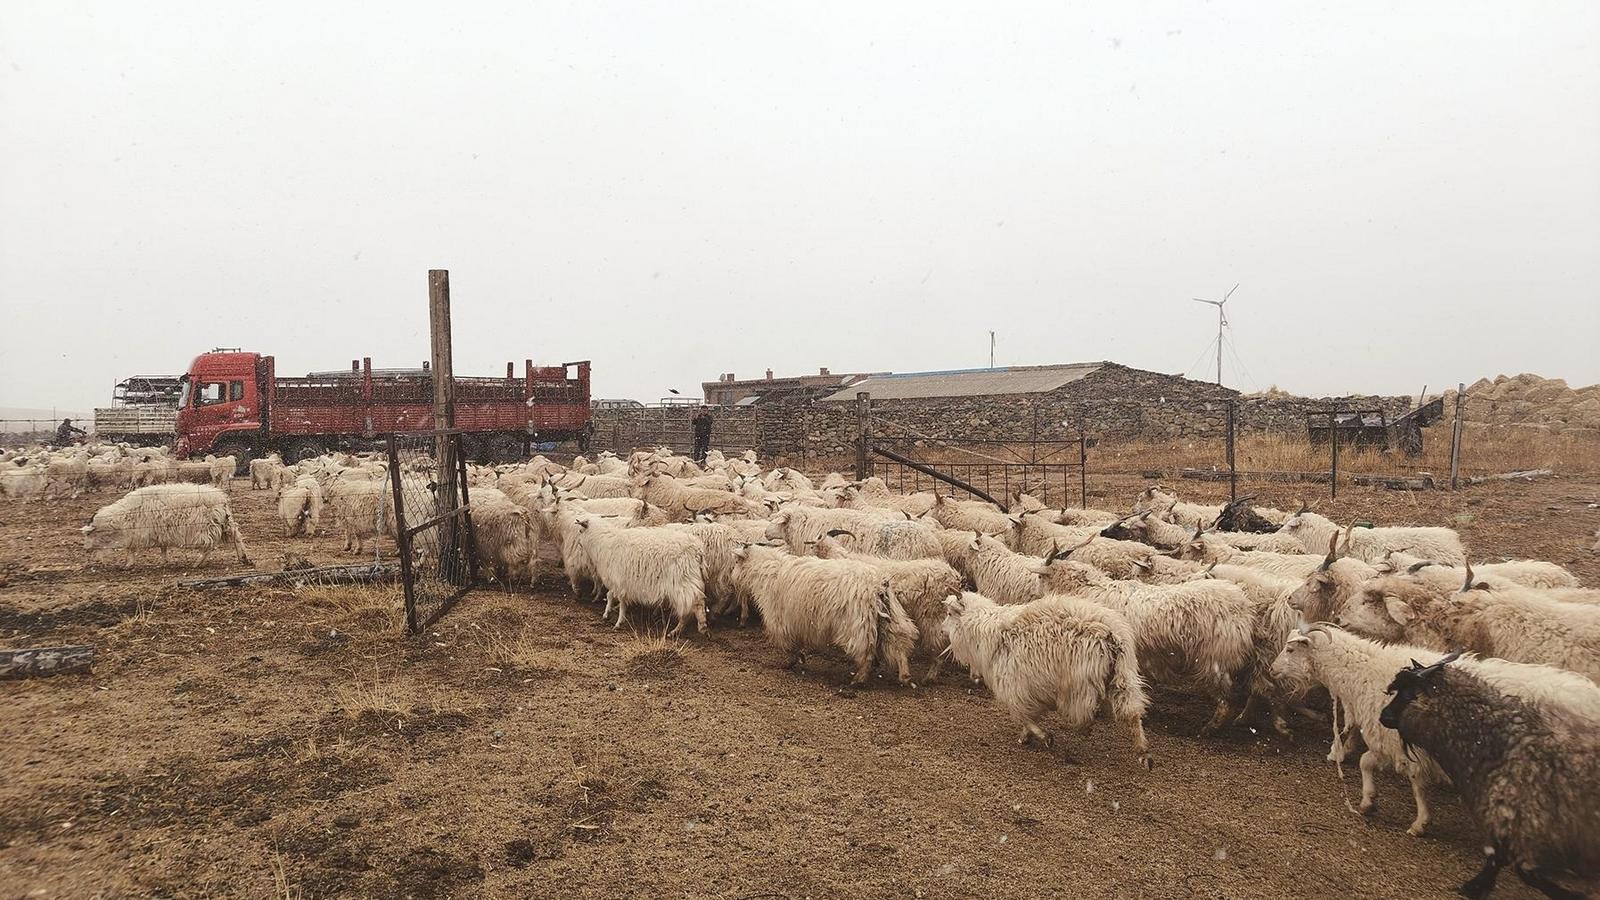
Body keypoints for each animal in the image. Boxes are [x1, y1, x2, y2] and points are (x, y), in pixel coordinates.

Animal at [81, 483, 251, 568]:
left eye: (89, 534)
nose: (85, 549)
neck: (122, 518)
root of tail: (221, 499)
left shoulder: (137, 534)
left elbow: (131, 550)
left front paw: (128, 564)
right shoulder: (160, 532)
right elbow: (163, 548)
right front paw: (164, 562)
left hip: (203, 529)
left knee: (209, 547)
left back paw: (197, 563)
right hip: (224, 524)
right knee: (236, 536)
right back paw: (243, 557)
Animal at [731, 543, 917, 685]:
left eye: (736, 561)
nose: (732, 579)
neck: (767, 571)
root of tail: (878, 584)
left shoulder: (782, 619)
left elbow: (790, 644)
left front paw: (790, 662)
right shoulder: (797, 620)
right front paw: (799, 658)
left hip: (858, 624)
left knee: (866, 652)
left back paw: (859, 679)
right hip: (891, 618)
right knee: (899, 643)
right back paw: (905, 675)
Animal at [942, 591, 1152, 769]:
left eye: (950, 613)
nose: (942, 630)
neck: (985, 631)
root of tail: (1110, 636)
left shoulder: (1015, 687)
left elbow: (1024, 716)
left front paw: (1041, 737)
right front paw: (1029, 737)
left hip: (1080, 682)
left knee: (1086, 712)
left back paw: (1086, 728)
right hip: (1124, 675)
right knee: (1131, 713)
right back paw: (1143, 754)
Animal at [1036, 560, 1256, 734]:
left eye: (1041, 577)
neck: (1089, 590)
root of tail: (1241, 604)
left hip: (1216, 660)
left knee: (1228, 700)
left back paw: (1210, 728)